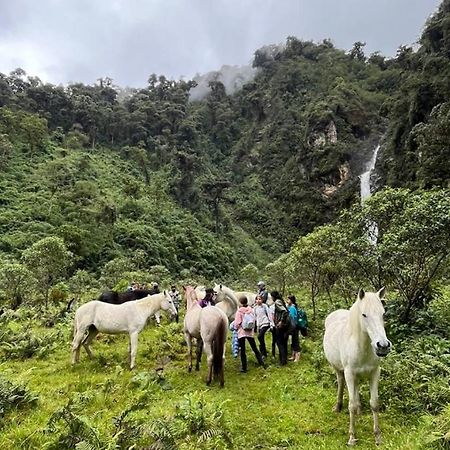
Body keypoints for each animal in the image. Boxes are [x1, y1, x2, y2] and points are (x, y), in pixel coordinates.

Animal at [324, 288, 390, 446]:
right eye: (364, 314)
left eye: (383, 314)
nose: (383, 346)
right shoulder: (349, 374)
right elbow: (351, 405)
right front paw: (352, 437)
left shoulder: (375, 373)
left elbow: (374, 403)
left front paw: (378, 437)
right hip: (338, 369)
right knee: (341, 383)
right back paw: (338, 406)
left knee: (357, 387)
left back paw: (360, 410)